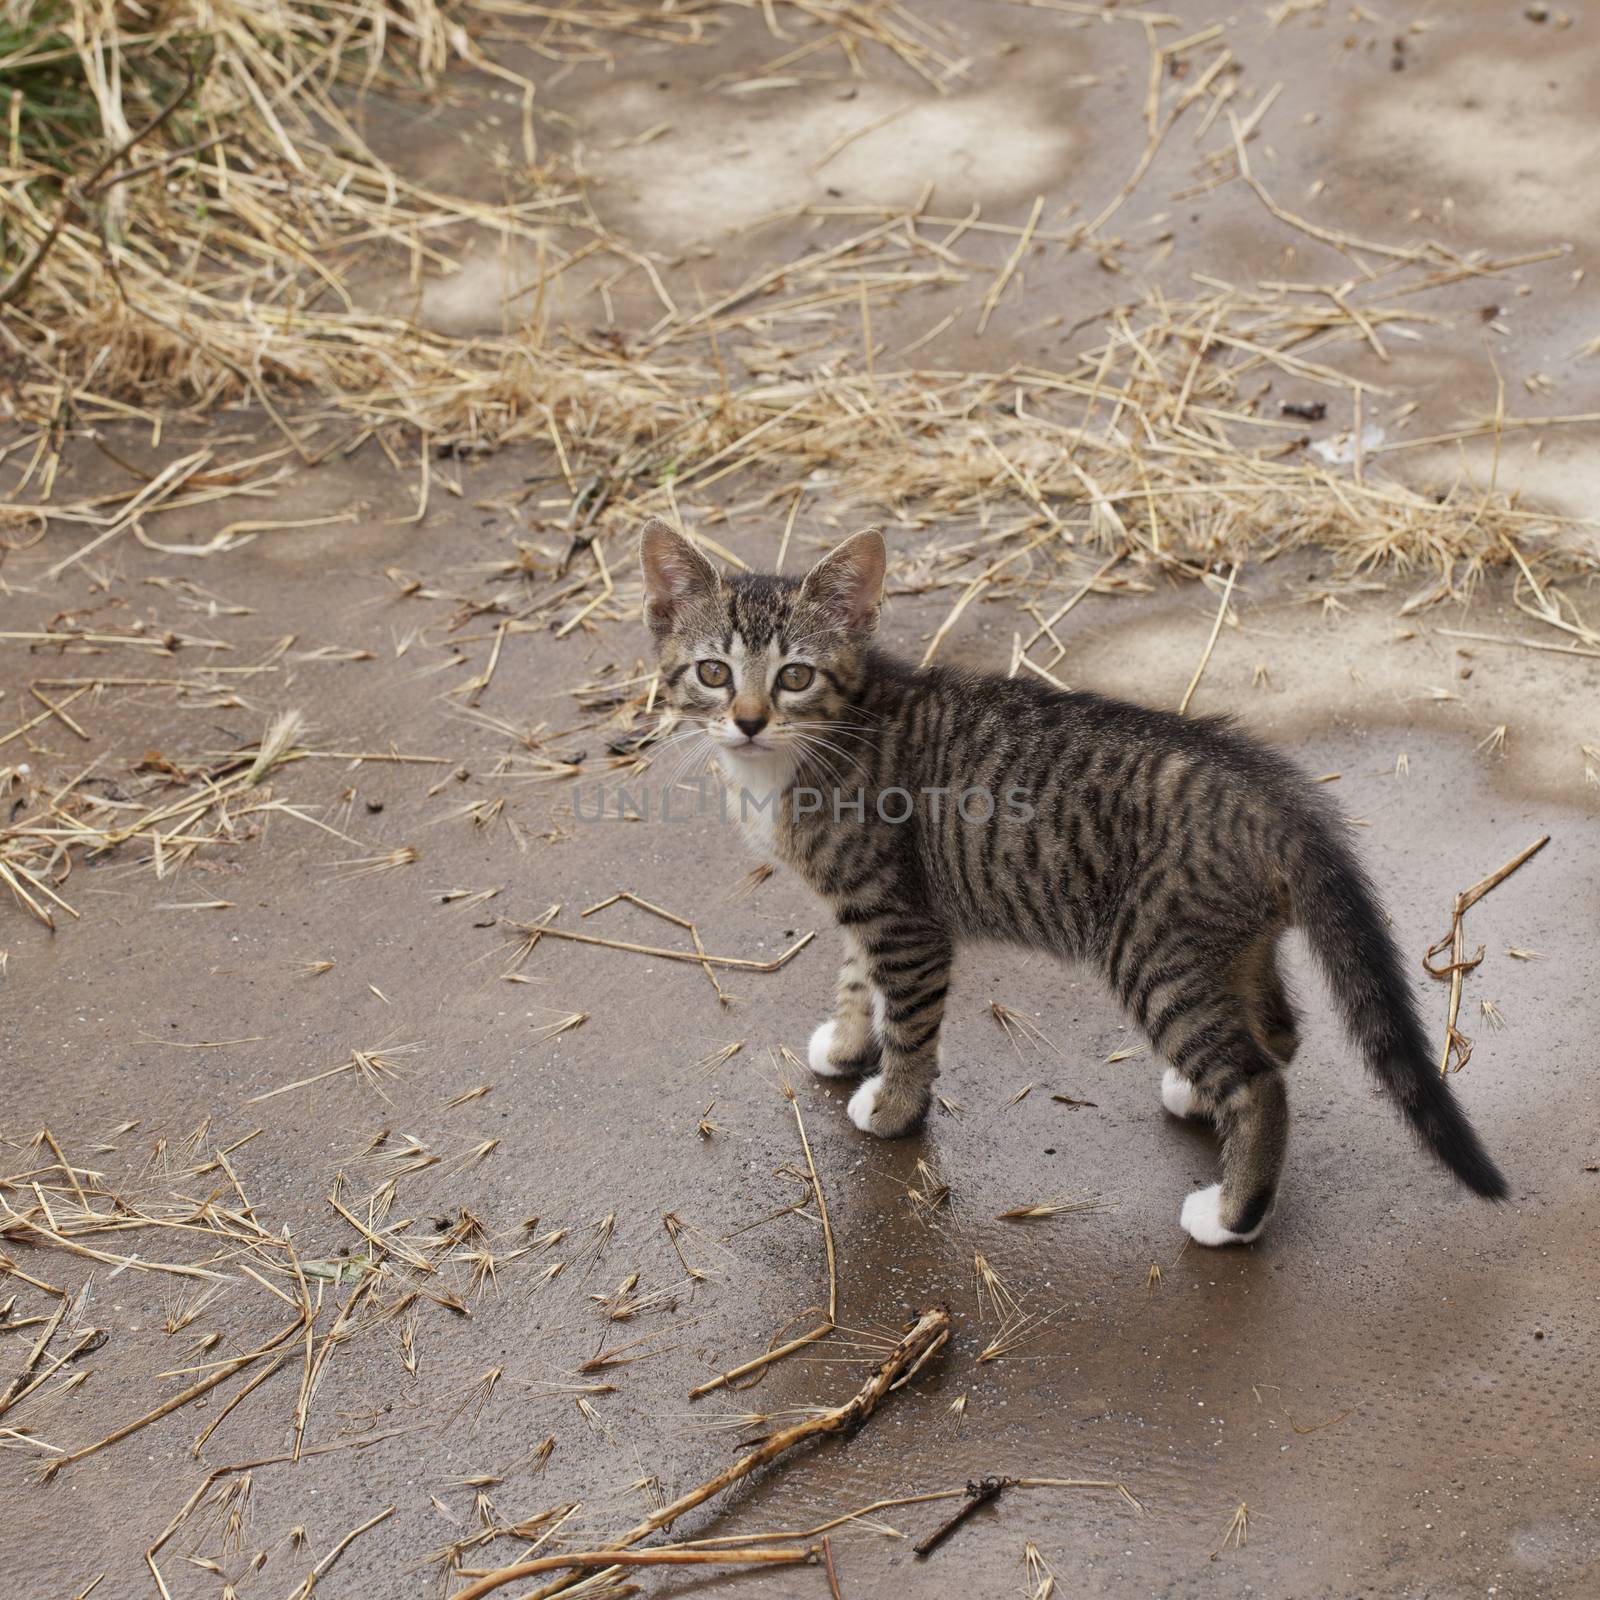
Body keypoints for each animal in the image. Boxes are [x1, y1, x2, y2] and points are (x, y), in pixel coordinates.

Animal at [633, 518, 1497, 1241]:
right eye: (713, 671)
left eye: (795, 677)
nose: (748, 720)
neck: (811, 750)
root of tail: (1273, 788)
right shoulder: (871, 904)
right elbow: (856, 978)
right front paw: (849, 1041)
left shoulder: (903, 918)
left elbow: (907, 1021)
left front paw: (893, 1103)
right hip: (1227, 942)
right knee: (1276, 1032)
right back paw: (1199, 1097)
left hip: (1153, 950)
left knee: (1257, 1079)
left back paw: (1233, 1213)